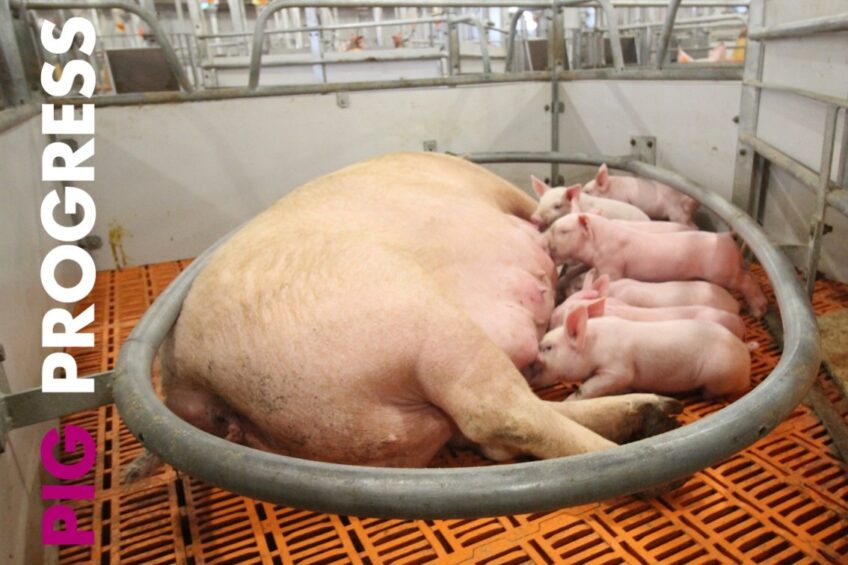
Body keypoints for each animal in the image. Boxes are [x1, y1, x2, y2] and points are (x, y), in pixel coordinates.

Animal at [124, 153, 682, 480]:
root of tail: (191, 372)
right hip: (426, 323)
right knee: (501, 414)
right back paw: (653, 456)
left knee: (491, 432)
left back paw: (657, 412)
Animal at [532, 301, 751, 400]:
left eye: (548, 347)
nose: (530, 370)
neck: (593, 345)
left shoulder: (618, 369)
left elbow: (590, 387)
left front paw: (568, 400)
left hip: (719, 376)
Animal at [546, 213, 768, 318]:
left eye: (564, 231)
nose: (546, 245)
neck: (599, 242)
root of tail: (726, 236)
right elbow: (578, 269)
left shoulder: (613, 266)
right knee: (749, 276)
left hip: (722, 272)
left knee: (747, 281)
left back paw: (758, 311)